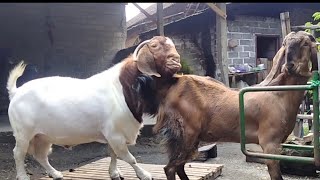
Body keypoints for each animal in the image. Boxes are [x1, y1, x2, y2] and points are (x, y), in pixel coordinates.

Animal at [6, 35, 180, 179]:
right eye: (155, 46)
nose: (177, 60)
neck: (121, 88)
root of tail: (16, 92)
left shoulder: (112, 135)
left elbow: (113, 154)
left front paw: (114, 173)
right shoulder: (115, 135)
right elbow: (129, 158)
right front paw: (144, 174)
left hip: (43, 136)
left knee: (41, 155)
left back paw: (55, 174)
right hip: (23, 133)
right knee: (18, 153)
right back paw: (23, 176)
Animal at [136, 31, 320, 180]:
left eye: (305, 43)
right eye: (285, 45)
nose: (289, 66)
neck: (279, 94)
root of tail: (172, 85)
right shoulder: (270, 144)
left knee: (178, 167)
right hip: (185, 134)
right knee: (170, 168)